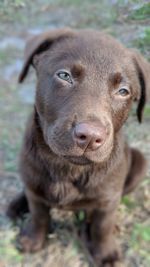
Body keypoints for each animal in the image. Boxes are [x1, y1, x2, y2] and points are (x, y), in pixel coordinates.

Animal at [7, 28, 150, 266]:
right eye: (64, 76)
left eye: (123, 91)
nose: (90, 137)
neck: (68, 167)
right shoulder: (35, 188)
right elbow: (38, 213)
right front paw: (33, 239)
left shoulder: (108, 198)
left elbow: (102, 226)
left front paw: (105, 252)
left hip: (139, 163)